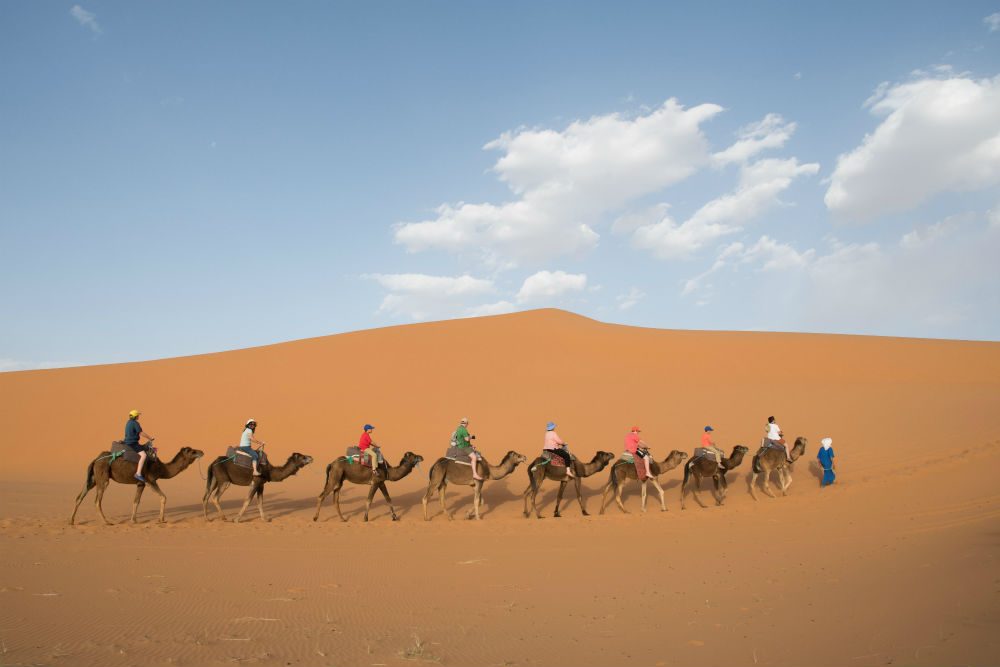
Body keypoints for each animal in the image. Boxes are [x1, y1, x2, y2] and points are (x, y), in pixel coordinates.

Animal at [69, 444, 204, 528]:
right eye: (192, 451)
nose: (202, 451)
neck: (162, 468)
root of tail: (95, 460)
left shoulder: (140, 483)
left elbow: (136, 501)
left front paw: (133, 520)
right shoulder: (150, 480)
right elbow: (163, 497)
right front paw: (161, 519)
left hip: (93, 479)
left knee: (79, 497)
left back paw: (71, 521)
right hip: (103, 478)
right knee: (97, 500)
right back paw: (107, 522)